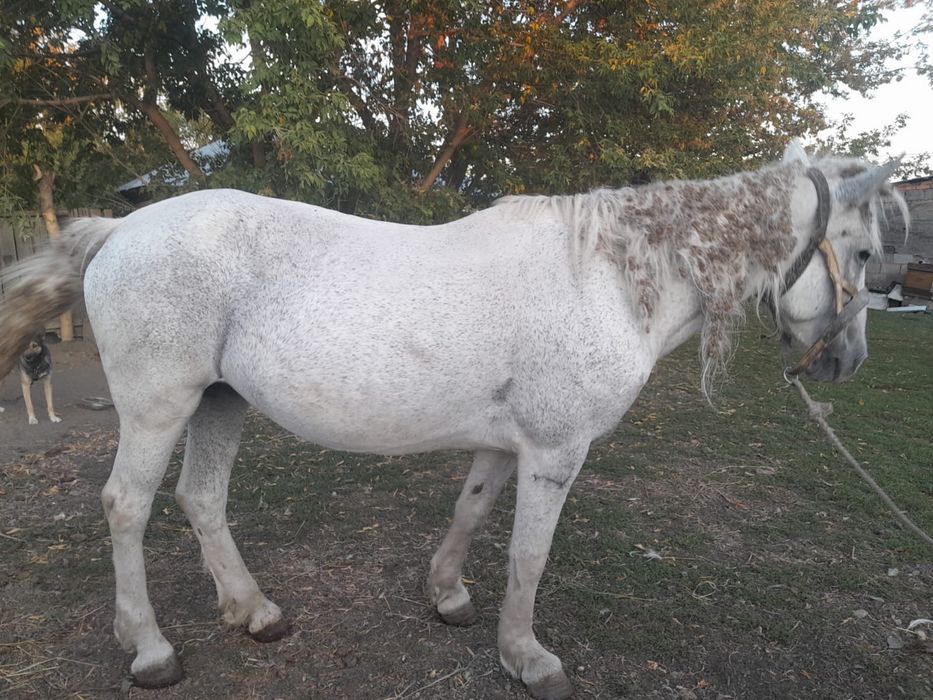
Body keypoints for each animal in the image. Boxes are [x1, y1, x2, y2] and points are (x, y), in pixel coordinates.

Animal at [0, 142, 904, 700]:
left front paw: (448, 597)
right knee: (127, 507)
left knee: (202, 499)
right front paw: (527, 657)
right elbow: (529, 555)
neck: (609, 279)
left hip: (220, 401)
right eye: (863, 254)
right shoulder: (555, 451)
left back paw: (254, 612)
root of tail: (122, 226)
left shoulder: (506, 446)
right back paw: (150, 649)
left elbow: (470, 513)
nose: (848, 363)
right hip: (159, 407)